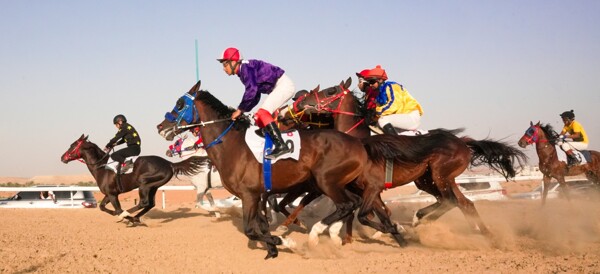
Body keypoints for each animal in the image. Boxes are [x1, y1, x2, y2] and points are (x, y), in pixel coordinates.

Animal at [61, 135, 206, 225]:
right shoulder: (109, 194)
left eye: (72, 145)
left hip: (144, 184)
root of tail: (169, 164)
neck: (101, 166)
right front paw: (126, 218)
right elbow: (102, 207)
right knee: (150, 204)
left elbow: (118, 209)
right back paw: (135, 218)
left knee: (143, 202)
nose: (63, 157)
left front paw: (124, 217)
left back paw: (130, 216)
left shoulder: (113, 194)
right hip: (154, 187)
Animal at [155, 90, 412, 260]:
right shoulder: (258, 195)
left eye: (180, 104)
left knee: (348, 205)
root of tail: (358, 142)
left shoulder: (249, 194)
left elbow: (251, 230)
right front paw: (272, 249)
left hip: (326, 181)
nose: (161, 127)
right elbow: (260, 226)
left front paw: (286, 242)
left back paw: (318, 234)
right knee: (358, 205)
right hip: (344, 183)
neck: (232, 145)